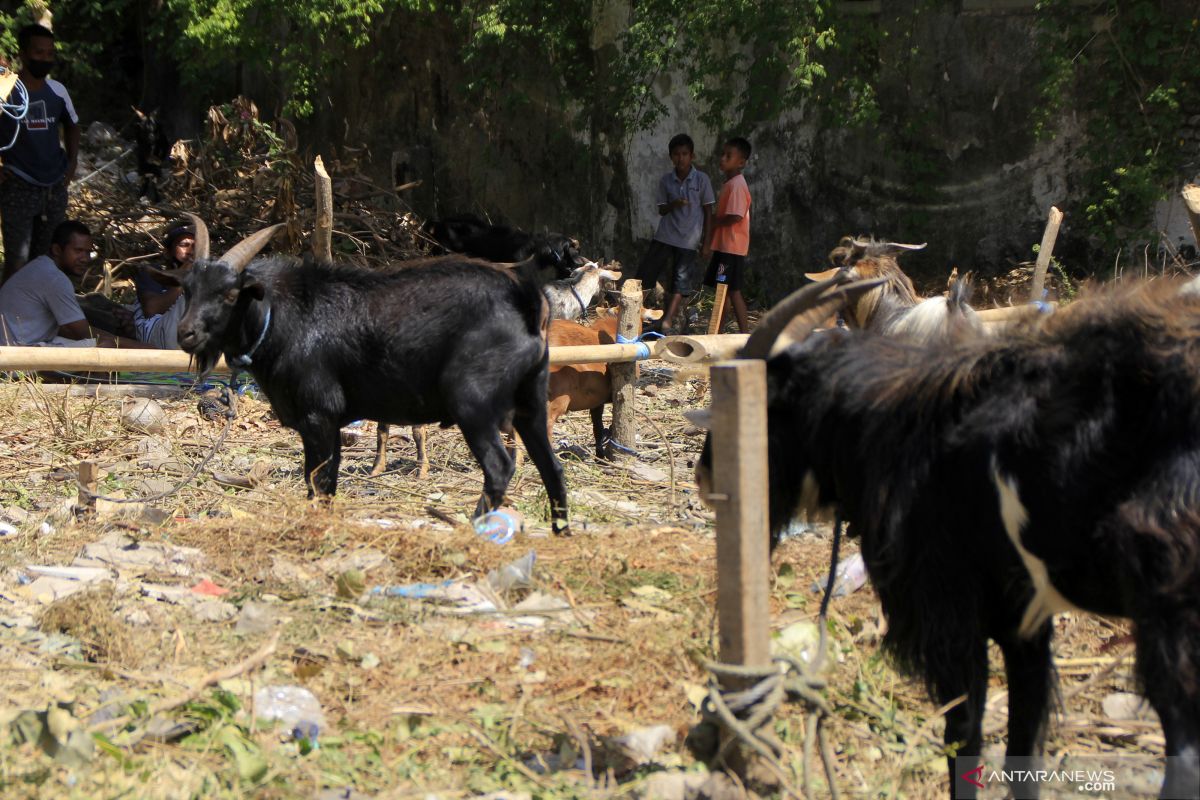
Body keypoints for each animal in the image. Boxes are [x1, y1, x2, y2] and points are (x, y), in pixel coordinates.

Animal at [696, 277, 1200, 800]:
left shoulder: (947, 611)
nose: (704, 474)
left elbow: (963, 736)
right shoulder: (1023, 621)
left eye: (767, 399)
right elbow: (1023, 749)